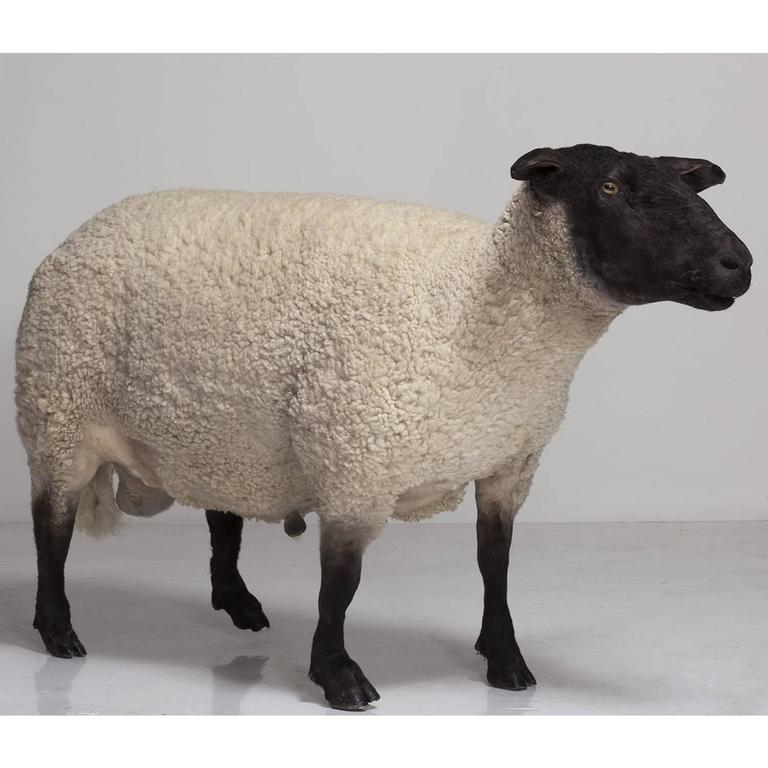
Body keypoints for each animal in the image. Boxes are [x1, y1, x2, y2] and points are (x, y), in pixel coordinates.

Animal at [15, 144, 752, 710]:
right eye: (609, 186)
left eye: (685, 186)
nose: (739, 263)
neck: (477, 304)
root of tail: (83, 229)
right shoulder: (357, 464)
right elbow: (340, 584)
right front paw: (337, 675)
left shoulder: (509, 462)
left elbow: (495, 563)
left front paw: (505, 659)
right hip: (59, 417)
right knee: (50, 530)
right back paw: (58, 631)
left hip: (218, 428)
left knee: (221, 516)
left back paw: (239, 604)